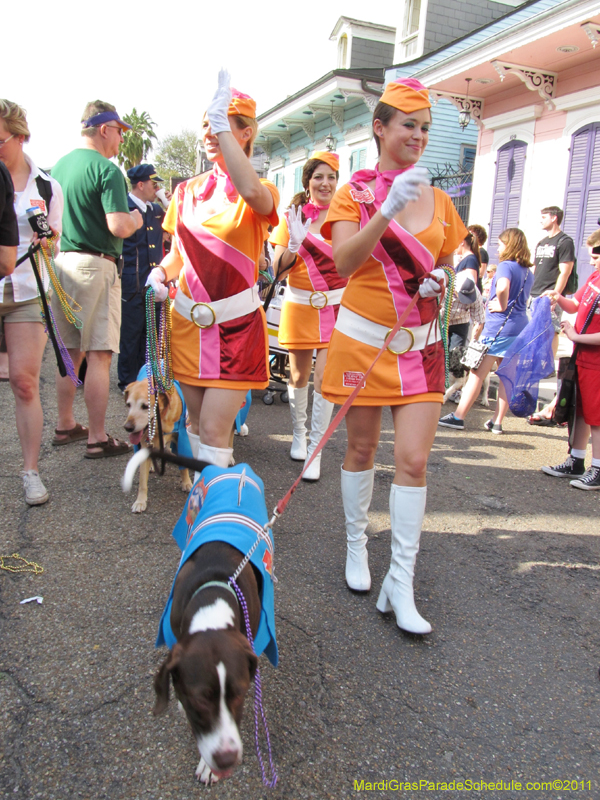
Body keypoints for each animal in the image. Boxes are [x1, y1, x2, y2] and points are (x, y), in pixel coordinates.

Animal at [123, 382, 193, 512]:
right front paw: (140, 501)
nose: (127, 427)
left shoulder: (181, 437)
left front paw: (186, 483)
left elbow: (184, 467)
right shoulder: (145, 445)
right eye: (128, 405)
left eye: (145, 406)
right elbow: (142, 480)